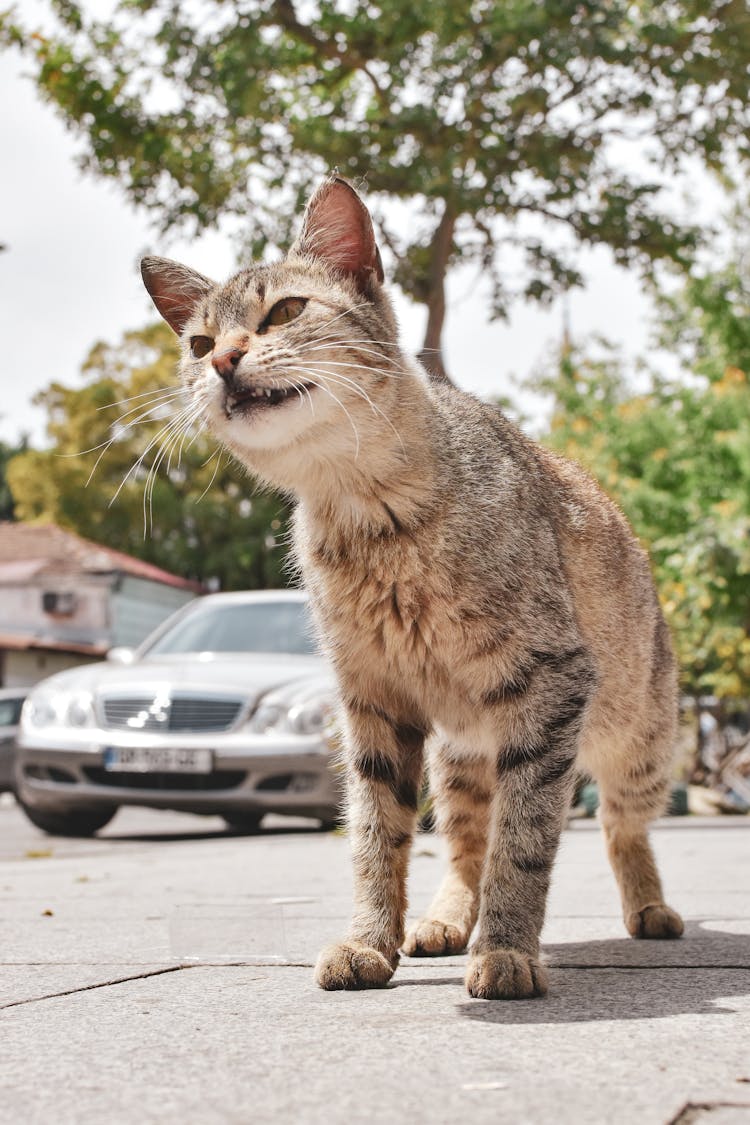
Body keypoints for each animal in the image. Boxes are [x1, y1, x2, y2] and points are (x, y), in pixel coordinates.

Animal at [142, 175, 688, 1003]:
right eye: (199, 344)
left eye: (285, 312)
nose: (225, 361)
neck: (366, 510)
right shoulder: (373, 699)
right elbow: (377, 833)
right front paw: (373, 938)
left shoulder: (551, 683)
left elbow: (523, 841)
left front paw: (507, 946)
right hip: (460, 758)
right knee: (464, 841)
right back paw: (444, 919)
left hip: (636, 739)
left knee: (622, 824)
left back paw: (648, 904)